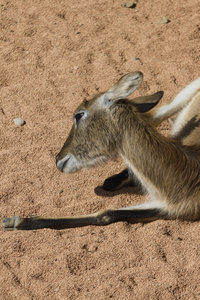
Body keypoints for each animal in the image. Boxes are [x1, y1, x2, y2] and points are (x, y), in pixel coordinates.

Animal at [2, 71, 200, 231]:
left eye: (79, 115)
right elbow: (105, 212)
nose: (58, 159)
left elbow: (106, 214)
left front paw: (16, 221)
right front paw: (14, 220)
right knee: (156, 113)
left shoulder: (173, 208)